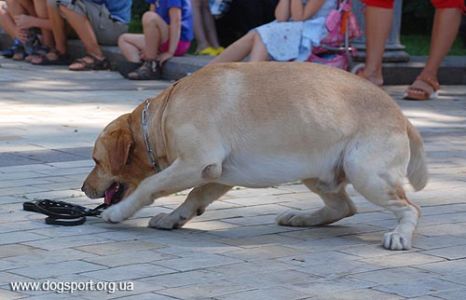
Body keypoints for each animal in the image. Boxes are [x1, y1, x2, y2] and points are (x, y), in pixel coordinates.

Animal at [82, 62, 428, 251]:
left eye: (96, 161)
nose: (84, 189)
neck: (164, 114)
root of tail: (401, 116)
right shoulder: (215, 174)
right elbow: (193, 198)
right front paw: (173, 218)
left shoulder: (197, 161)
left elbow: (149, 186)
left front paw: (119, 212)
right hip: (317, 174)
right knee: (345, 206)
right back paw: (302, 218)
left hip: (365, 173)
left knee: (410, 208)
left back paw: (400, 234)